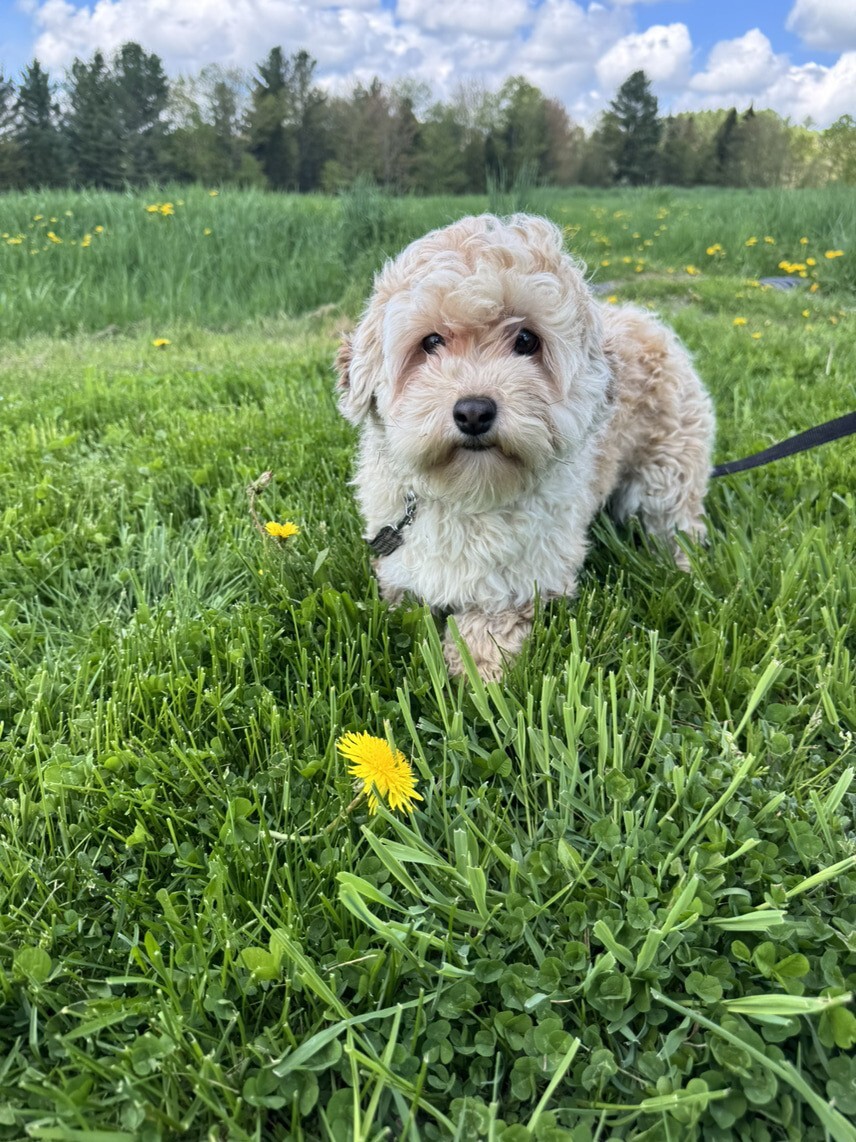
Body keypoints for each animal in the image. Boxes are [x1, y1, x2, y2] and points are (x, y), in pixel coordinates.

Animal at [336, 213, 715, 681]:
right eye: (431, 342)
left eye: (527, 341)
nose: (474, 412)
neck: (470, 495)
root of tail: (647, 319)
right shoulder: (400, 565)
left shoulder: (522, 581)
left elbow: (487, 628)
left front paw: (476, 677)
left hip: (669, 469)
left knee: (678, 523)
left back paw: (682, 572)